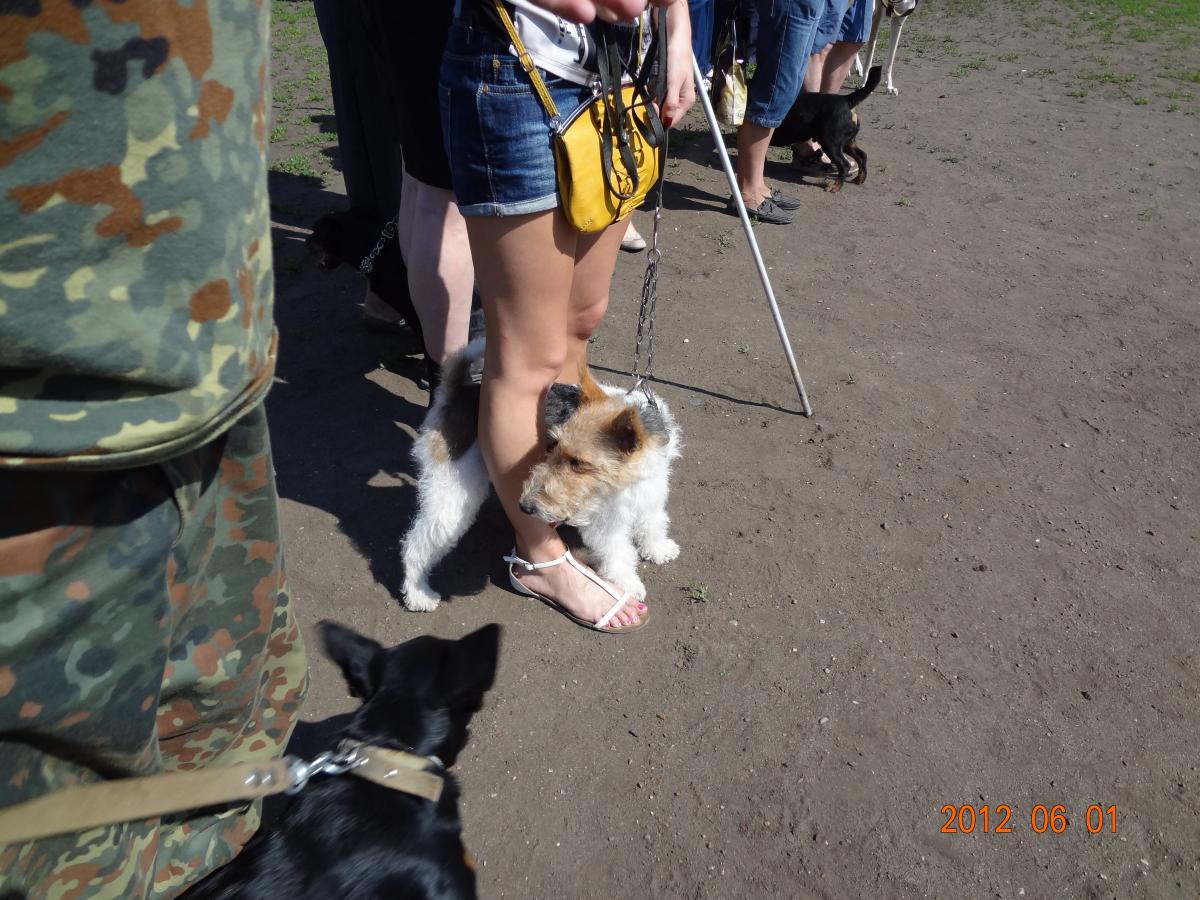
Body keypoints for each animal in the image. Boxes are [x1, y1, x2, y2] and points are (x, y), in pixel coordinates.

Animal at [401, 338, 682, 614]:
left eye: (578, 462)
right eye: (553, 444)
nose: (525, 506)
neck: (626, 481)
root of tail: (457, 392)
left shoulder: (651, 493)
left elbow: (653, 523)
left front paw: (658, 549)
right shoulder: (605, 523)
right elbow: (618, 553)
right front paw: (629, 585)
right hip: (451, 494)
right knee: (414, 546)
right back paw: (418, 595)